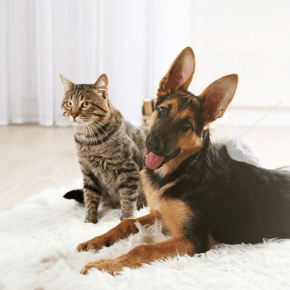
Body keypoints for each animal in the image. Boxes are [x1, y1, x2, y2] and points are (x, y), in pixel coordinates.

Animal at [60, 73, 147, 223]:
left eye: (85, 104)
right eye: (69, 103)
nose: (73, 114)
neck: (89, 141)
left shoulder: (128, 169)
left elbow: (128, 197)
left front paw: (126, 219)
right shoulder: (88, 171)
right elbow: (89, 196)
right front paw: (89, 221)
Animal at [76, 47, 290, 274]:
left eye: (186, 125)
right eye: (162, 110)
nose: (153, 144)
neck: (183, 170)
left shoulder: (192, 240)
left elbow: (142, 249)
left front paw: (103, 265)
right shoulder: (160, 214)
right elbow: (125, 223)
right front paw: (95, 241)